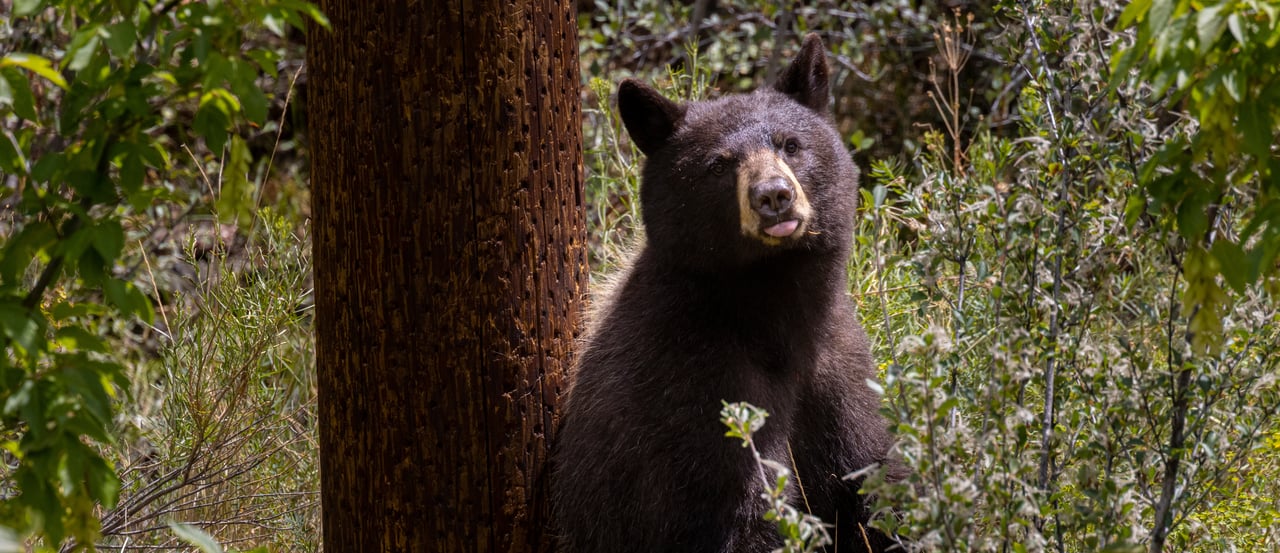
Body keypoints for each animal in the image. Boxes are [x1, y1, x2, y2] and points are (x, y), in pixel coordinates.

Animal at [550, 35, 901, 553]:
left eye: (791, 145)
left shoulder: (839, 373)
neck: (771, 307)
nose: (773, 195)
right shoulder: (691, 388)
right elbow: (738, 511)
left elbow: (874, 479)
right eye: (718, 164)